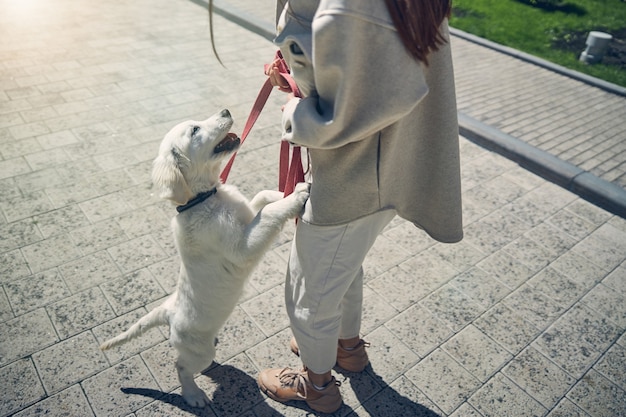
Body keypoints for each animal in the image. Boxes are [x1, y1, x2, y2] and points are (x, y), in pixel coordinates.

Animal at [99, 109, 310, 408]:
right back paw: (193, 395)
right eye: (195, 130)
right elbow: (268, 214)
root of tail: (169, 312)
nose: (226, 111)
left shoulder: (247, 215)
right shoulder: (241, 247)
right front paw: (296, 196)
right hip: (196, 350)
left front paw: (287, 190)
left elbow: (262, 198)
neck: (202, 198)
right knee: (181, 367)